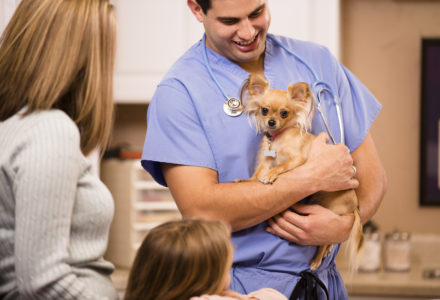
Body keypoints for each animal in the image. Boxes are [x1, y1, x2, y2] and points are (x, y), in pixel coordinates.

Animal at [239, 74, 362, 272]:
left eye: (284, 113)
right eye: (264, 110)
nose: (271, 122)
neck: (278, 138)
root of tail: (355, 206)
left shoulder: (297, 160)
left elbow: (280, 166)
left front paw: (270, 176)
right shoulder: (266, 161)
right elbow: (256, 175)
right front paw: (245, 180)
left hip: (331, 214)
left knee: (324, 241)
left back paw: (316, 260)